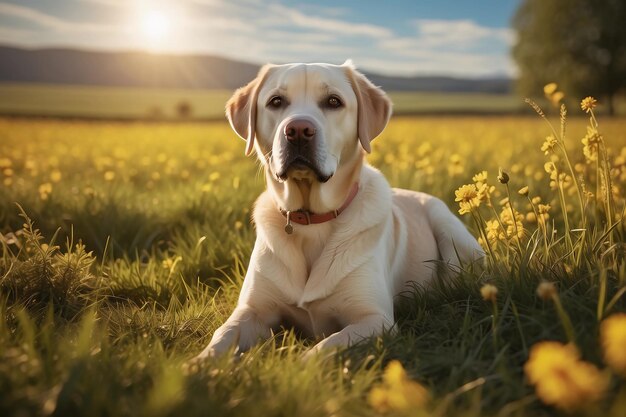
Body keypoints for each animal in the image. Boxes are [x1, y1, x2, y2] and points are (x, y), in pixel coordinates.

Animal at [197, 61, 480, 358]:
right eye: (276, 101)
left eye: (333, 101)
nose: (298, 130)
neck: (312, 220)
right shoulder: (251, 311)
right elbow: (222, 336)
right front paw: (199, 364)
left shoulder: (374, 319)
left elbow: (319, 351)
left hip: (449, 233)